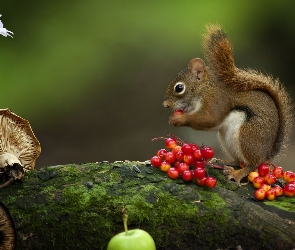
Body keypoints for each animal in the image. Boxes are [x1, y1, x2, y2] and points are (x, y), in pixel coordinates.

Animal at [164, 24, 294, 184]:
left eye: (179, 88)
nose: (166, 105)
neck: (206, 88)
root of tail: (267, 154)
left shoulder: (217, 100)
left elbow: (208, 118)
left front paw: (179, 119)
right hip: (227, 139)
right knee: (239, 160)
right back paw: (225, 162)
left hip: (247, 135)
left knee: (253, 164)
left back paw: (236, 174)